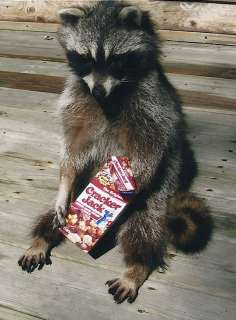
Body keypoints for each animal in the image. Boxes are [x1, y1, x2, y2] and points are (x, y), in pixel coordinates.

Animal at [18, 1, 214, 304]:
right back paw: (41, 238)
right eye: (86, 58)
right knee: (52, 214)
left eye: (114, 60)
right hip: (80, 190)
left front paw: (134, 182)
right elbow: (73, 147)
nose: (98, 90)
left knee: (143, 228)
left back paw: (137, 267)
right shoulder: (77, 97)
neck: (109, 96)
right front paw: (64, 181)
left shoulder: (153, 103)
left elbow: (151, 146)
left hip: (157, 198)